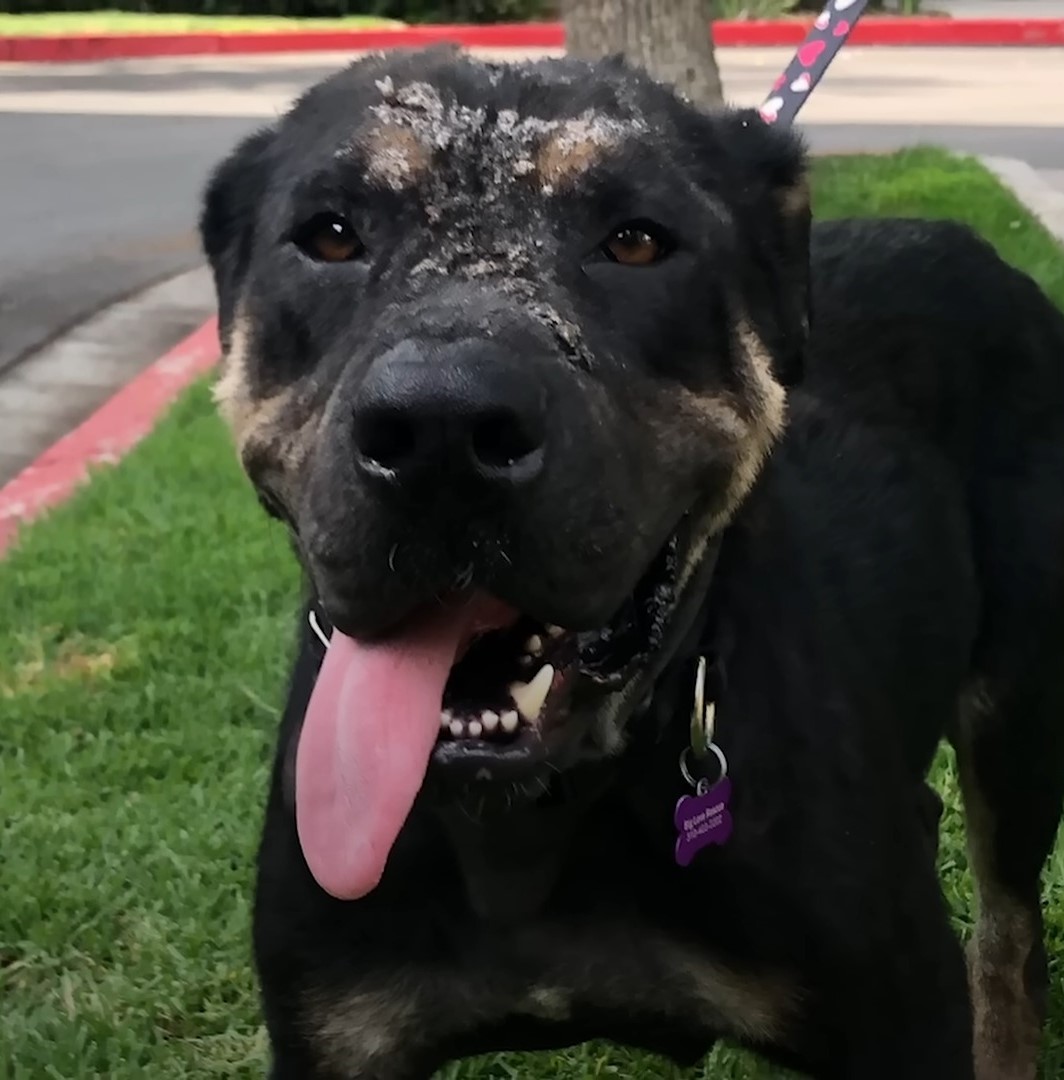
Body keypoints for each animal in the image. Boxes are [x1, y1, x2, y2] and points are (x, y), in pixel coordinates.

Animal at [195, 46, 1062, 1075]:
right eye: (329, 236)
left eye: (638, 242)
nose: (442, 430)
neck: (530, 818)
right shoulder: (335, 1031)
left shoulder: (901, 1014)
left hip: (1019, 725)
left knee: (1010, 939)